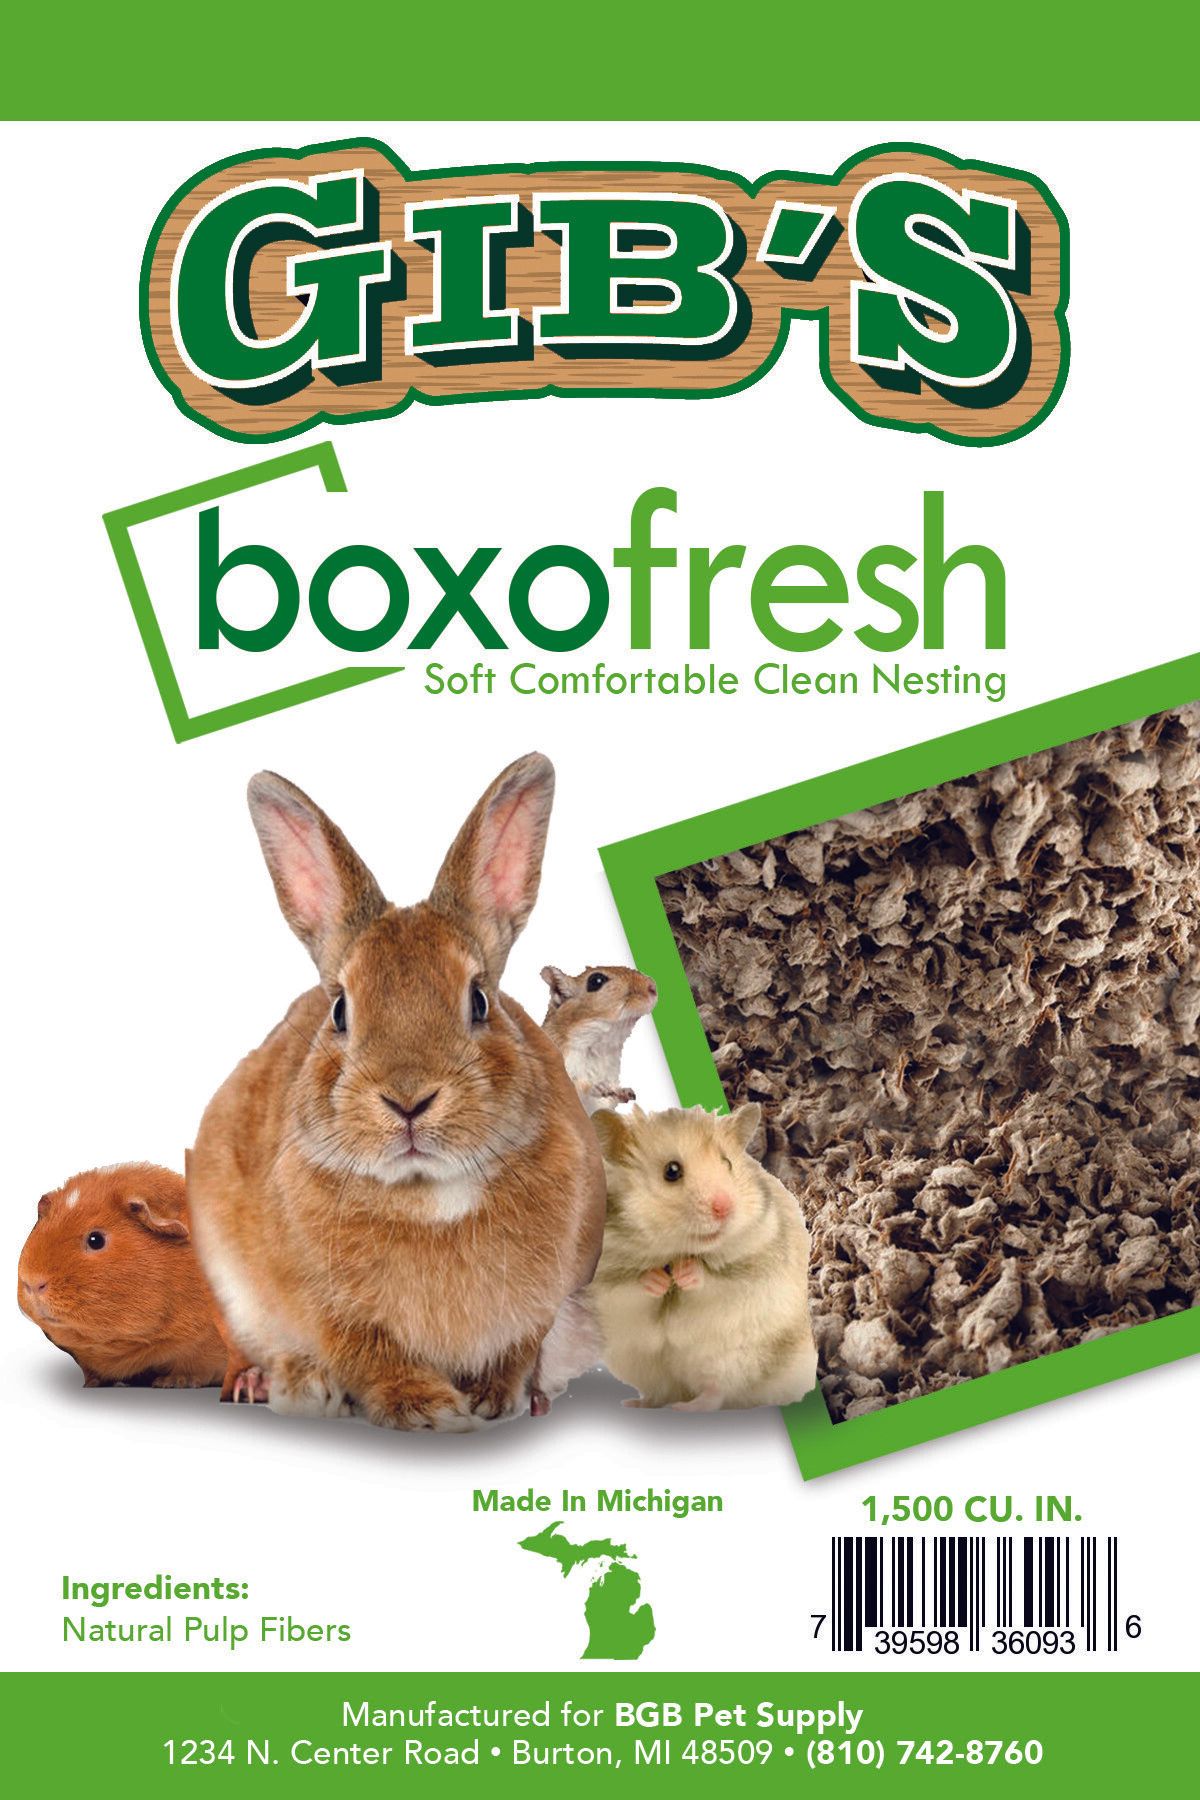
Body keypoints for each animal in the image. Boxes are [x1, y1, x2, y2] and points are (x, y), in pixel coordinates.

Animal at [186, 753, 607, 1430]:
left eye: (480, 1000)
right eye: (339, 1010)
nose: (408, 1101)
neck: (428, 1196)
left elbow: (516, 1351)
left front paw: (495, 1399)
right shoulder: (334, 1316)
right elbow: (370, 1356)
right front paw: (429, 1409)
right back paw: (279, 1384)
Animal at [541, 964, 657, 1114]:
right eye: (597, 980)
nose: (653, 987)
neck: (599, 1047)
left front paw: (626, 1092)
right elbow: (578, 1085)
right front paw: (599, 1087)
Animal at [587, 1104, 817, 1410]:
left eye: (727, 1163)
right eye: (671, 1171)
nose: (725, 1208)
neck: (674, 1251)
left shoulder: (754, 1266)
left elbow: (713, 1279)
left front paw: (686, 1273)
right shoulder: (602, 1281)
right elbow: (630, 1285)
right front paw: (658, 1280)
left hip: (734, 1358)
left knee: (717, 1392)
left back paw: (686, 1407)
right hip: (642, 1365)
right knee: (662, 1392)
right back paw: (638, 1404)